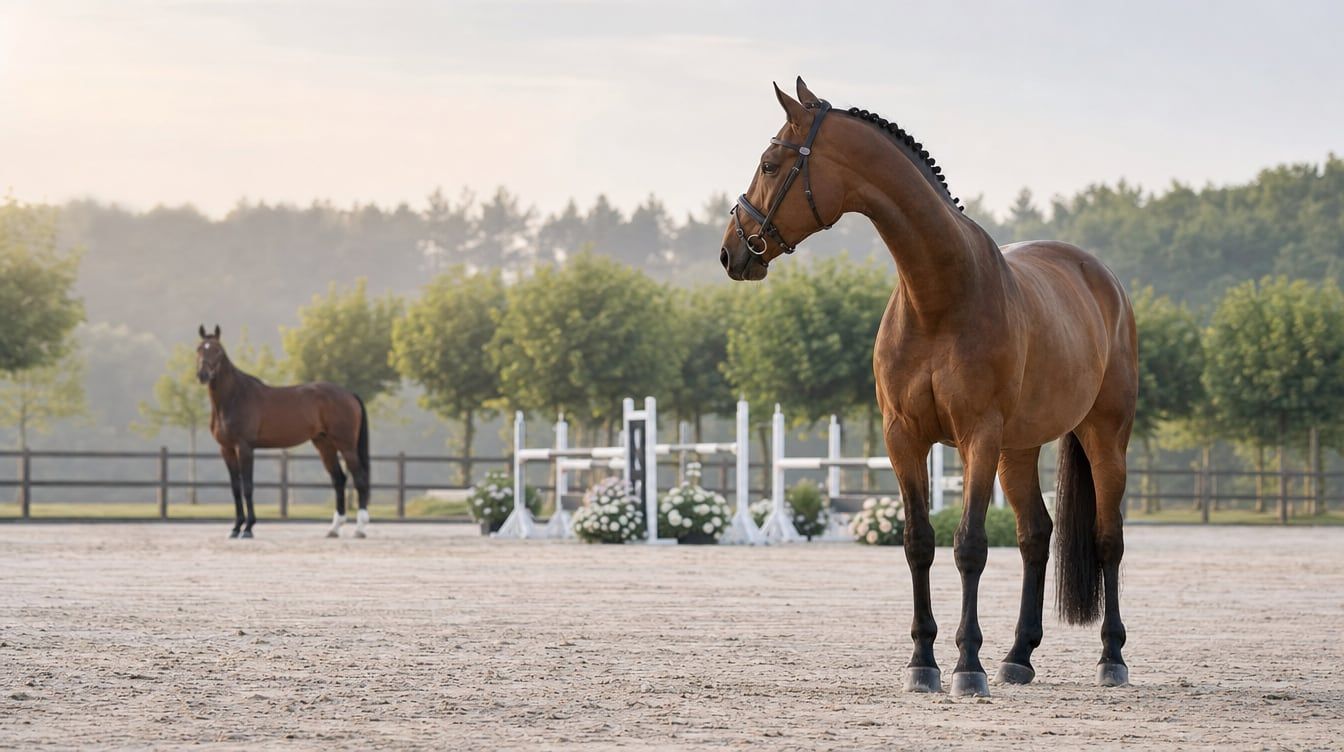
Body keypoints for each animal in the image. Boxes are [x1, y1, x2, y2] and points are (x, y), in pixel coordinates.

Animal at [195, 325, 370, 539]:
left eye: (218, 351)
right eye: (199, 349)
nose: (203, 375)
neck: (234, 397)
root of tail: (349, 394)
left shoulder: (244, 448)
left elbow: (248, 486)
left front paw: (248, 528)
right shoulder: (226, 449)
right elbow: (236, 488)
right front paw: (235, 528)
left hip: (347, 447)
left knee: (360, 479)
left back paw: (360, 530)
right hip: (325, 446)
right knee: (339, 480)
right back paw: (334, 529)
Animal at [720, 79, 1137, 697]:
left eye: (770, 164)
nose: (731, 250)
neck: (939, 296)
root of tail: (1102, 279)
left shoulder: (977, 438)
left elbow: (970, 546)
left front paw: (967, 666)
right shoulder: (904, 439)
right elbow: (919, 542)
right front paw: (923, 661)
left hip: (1103, 436)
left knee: (1108, 538)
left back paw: (1111, 656)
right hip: (1019, 449)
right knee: (1036, 534)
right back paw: (1019, 655)